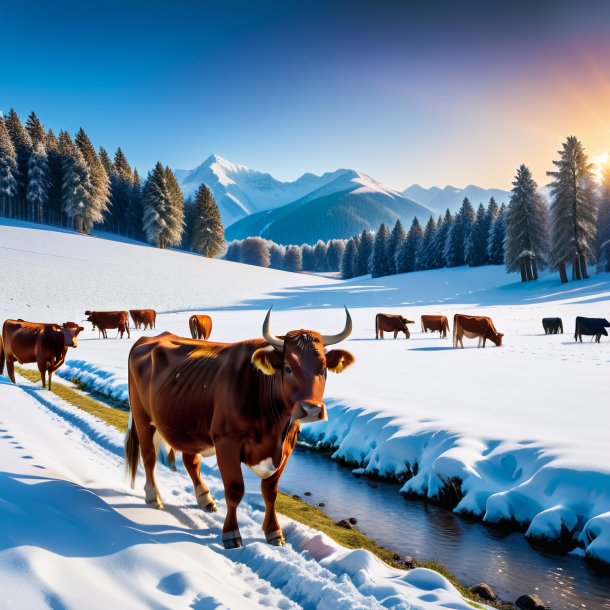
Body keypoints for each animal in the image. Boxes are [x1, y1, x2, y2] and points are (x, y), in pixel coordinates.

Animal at [124, 306, 352, 548]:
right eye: (288, 368)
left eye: (324, 369)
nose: (311, 409)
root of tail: (149, 339)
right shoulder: (227, 442)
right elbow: (235, 489)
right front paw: (231, 534)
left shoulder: (287, 447)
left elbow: (270, 492)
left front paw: (274, 532)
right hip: (142, 417)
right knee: (149, 456)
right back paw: (153, 497)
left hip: (187, 425)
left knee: (190, 460)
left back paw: (205, 498)